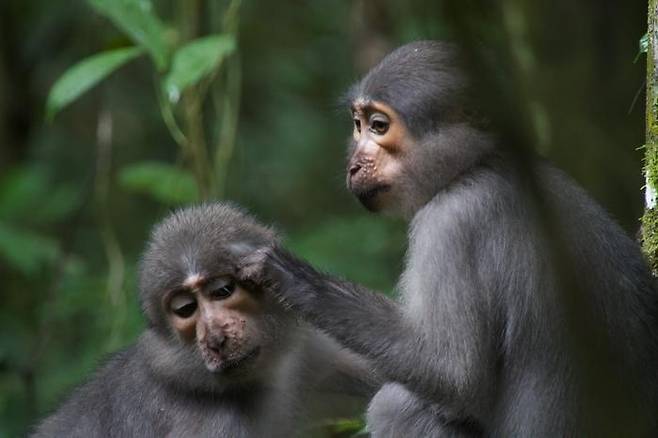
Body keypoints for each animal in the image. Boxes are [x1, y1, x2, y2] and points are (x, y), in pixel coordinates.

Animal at [237, 39, 658, 436]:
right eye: (358, 124)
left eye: (378, 126)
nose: (353, 165)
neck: (479, 165)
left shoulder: (449, 224)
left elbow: (455, 376)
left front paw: (296, 279)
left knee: (394, 404)